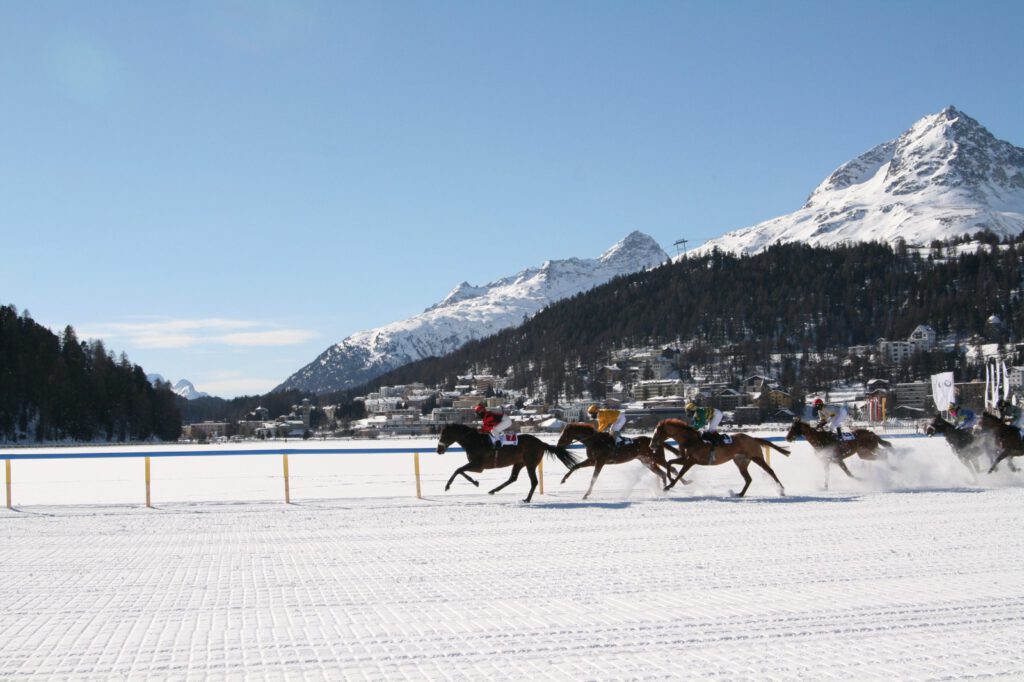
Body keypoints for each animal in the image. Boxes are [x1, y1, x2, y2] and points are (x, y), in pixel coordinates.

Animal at [435, 423, 580, 502]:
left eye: (445, 435)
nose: (438, 450)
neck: (474, 441)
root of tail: (541, 443)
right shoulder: (476, 465)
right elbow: (460, 470)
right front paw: (475, 482)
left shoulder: (478, 466)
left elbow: (458, 470)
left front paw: (448, 486)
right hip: (519, 463)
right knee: (513, 478)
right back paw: (493, 490)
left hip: (530, 463)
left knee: (533, 481)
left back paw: (527, 499)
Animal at [650, 419, 789, 497]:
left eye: (657, 432)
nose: (651, 444)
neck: (691, 440)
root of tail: (753, 438)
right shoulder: (686, 458)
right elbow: (670, 462)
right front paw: (669, 479)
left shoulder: (691, 461)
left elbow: (680, 472)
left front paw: (668, 486)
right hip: (741, 462)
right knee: (748, 479)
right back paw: (740, 494)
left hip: (756, 457)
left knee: (770, 471)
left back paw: (781, 490)